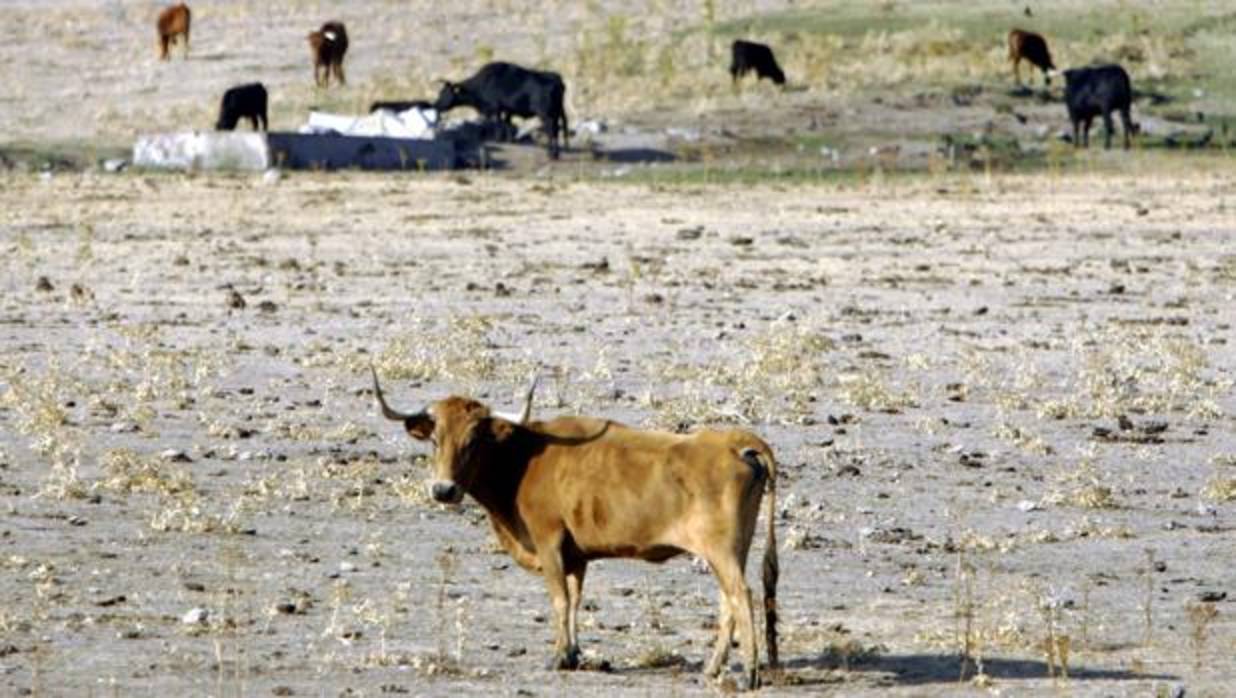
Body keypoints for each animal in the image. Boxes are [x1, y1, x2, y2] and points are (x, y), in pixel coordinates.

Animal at [368, 368, 781, 686]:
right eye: (435, 439)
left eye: (474, 440)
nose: (443, 490)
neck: (523, 459)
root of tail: (733, 441)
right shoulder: (576, 554)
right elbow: (575, 597)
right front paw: (574, 652)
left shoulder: (548, 540)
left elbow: (559, 598)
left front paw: (559, 656)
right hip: (732, 551)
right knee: (729, 602)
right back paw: (713, 668)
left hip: (721, 551)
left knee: (741, 595)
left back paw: (749, 672)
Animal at [435, 62, 568, 159]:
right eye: (440, 92)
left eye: (445, 93)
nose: (436, 105)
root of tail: (556, 79)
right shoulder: (507, 110)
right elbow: (507, 123)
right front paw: (509, 140)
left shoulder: (495, 108)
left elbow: (498, 123)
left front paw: (498, 139)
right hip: (558, 112)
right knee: (559, 127)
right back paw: (557, 152)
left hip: (545, 114)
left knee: (551, 130)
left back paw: (551, 154)